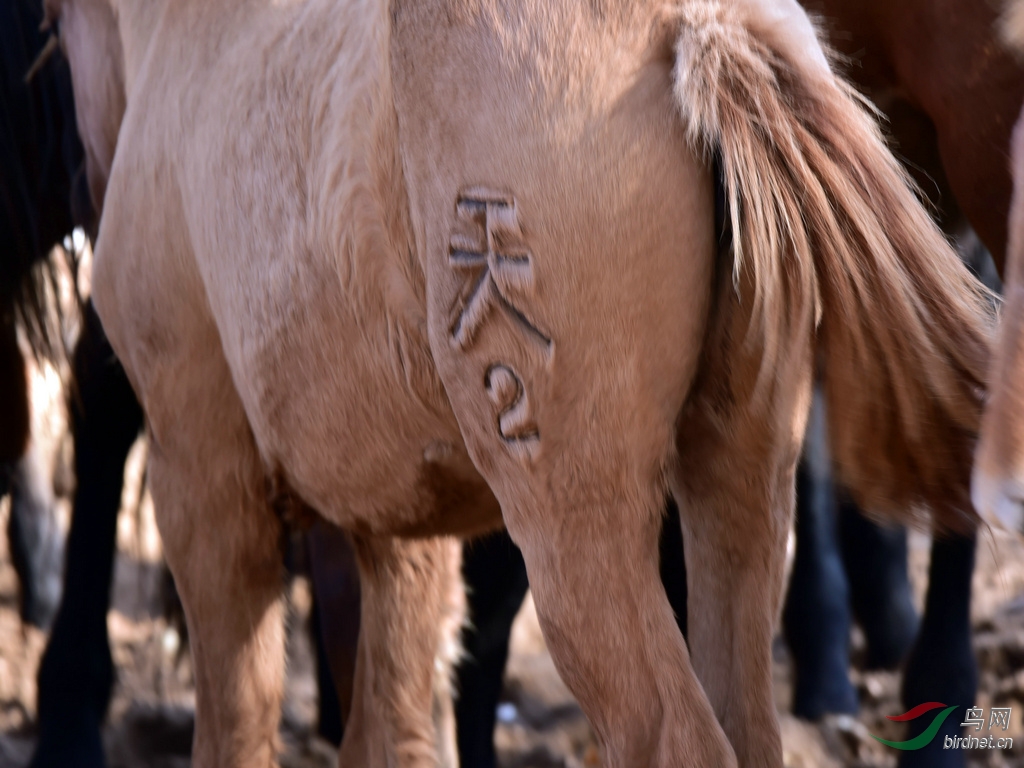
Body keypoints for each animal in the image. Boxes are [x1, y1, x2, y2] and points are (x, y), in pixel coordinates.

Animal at [51, 0, 995, 765]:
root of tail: (701, 26)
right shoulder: (400, 524)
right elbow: (397, 729)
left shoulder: (205, 484)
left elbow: (240, 725)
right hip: (743, 490)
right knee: (747, 717)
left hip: (575, 524)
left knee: (672, 734)